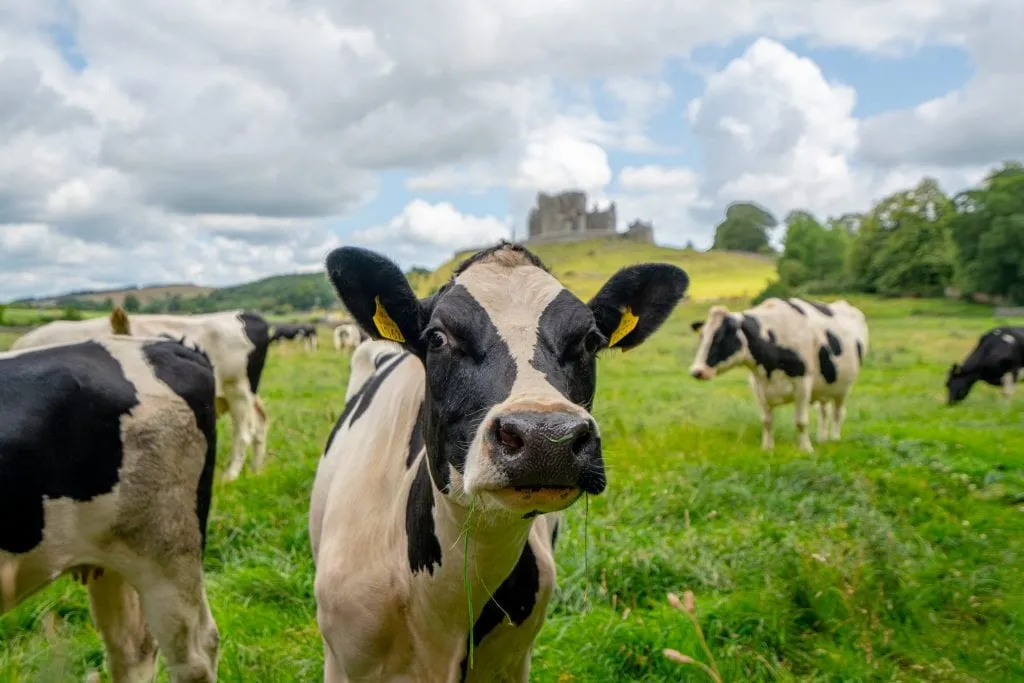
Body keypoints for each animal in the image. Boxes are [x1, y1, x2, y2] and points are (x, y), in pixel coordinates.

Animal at [688, 296, 872, 450]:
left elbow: (801, 421)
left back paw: (834, 438)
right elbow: (766, 421)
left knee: (838, 413)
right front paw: (767, 448)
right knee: (824, 411)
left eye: (719, 338)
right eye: (702, 336)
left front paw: (806, 449)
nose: (697, 371)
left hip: (844, 387)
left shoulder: (803, 383)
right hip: (824, 386)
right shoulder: (758, 386)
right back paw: (822, 438)